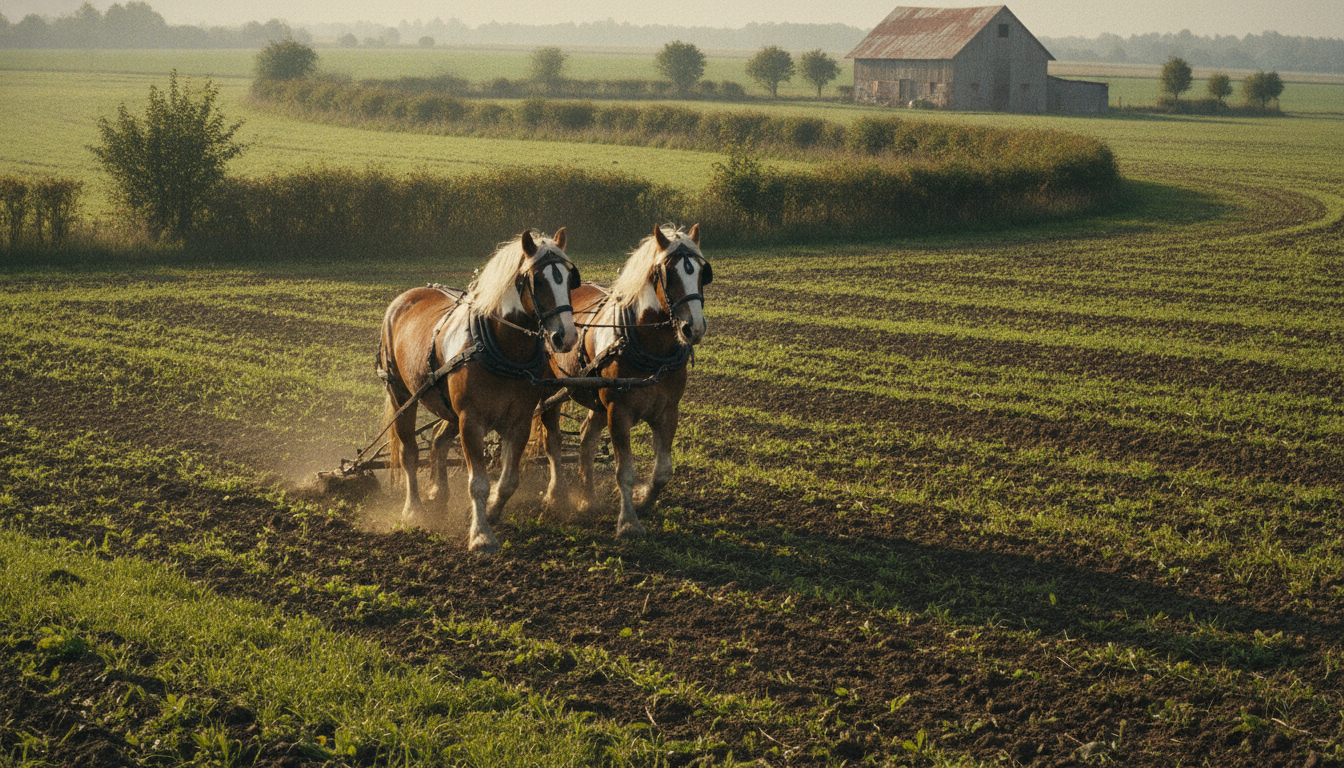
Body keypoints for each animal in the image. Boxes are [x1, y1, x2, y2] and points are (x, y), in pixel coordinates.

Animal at [378, 228, 580, 554]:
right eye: (537, 281)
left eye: (569, 278)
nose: (567, 336)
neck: (502, 348)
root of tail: (404, 298)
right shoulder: (471, 421)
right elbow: (478, 483)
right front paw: (481, 535)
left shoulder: (519, 421)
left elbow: (509, 480)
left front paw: (494, 511)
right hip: (401, 394)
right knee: (409, 452)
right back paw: (413, 509)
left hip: (447, 407)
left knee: (437, 441)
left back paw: (438, 493)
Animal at [537, 223, 711, 538]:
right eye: (668, 273)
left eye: (702, 272)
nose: (694, 328)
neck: (651, 348)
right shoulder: (619, 412)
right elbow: (624, 472)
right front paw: (628, 522)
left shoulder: (668, 412)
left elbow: (663, 472)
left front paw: (643, 500)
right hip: (550, 390)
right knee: (552, 439)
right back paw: (557, 495)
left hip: (595, 399)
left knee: (586, 439)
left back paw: (587, 498)